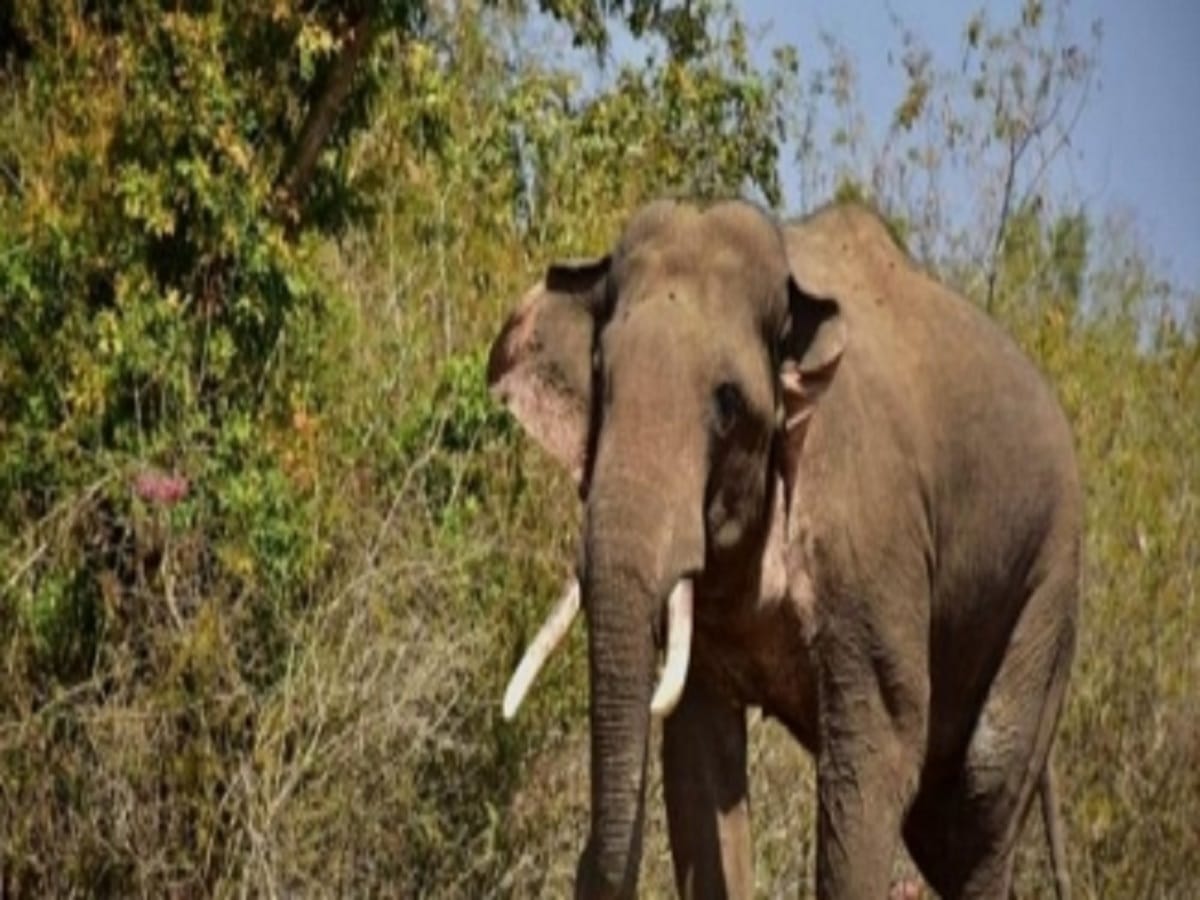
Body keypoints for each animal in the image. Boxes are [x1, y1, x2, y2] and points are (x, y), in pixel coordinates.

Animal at [488, 199, 1081, 899]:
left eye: (727, 403)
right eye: (601, 378)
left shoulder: (872, 542)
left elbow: (876, 750)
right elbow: (700, 762)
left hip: (1048, 586)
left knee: (982, 798)